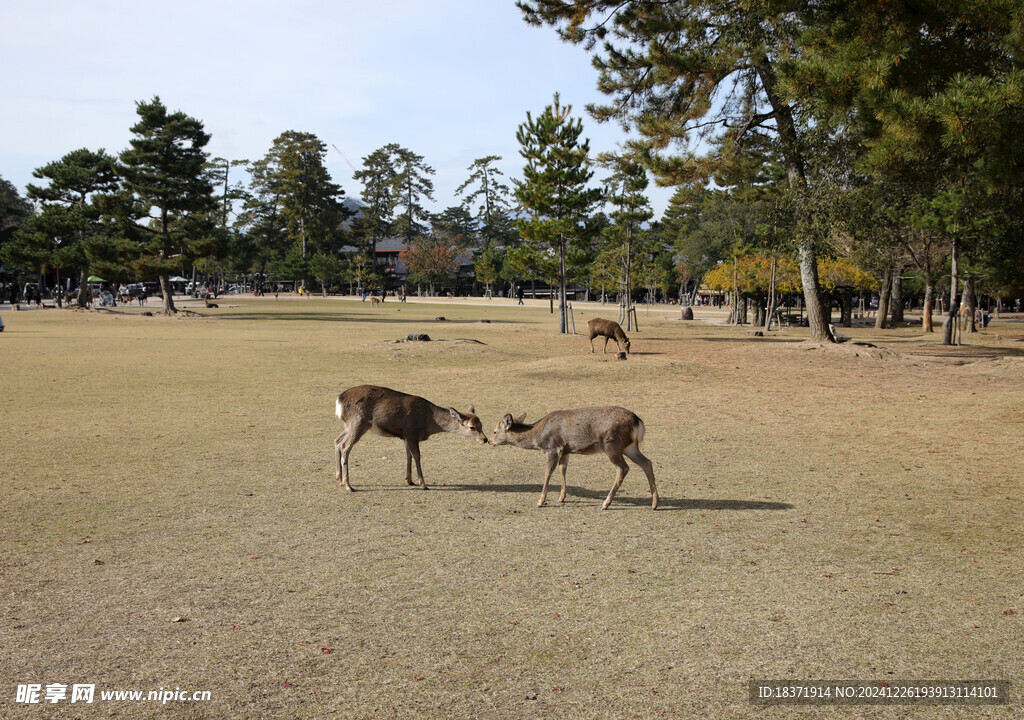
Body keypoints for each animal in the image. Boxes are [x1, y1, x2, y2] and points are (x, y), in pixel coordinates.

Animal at [329, 385, 485, 493]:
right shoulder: (411, 433)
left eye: (481, 424)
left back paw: (339, 479)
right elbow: (416, 456)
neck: (429, 421)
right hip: (358, 423)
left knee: (337, 440)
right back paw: (348, 486)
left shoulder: (405, 436)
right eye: (472, 427)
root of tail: (339, 400)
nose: (485, 439)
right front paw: (423, 484)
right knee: (345, 447)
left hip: (348, 425)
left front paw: (409, 480)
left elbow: (408, 455)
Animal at [491, 405, 659, 512]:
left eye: (494, 431)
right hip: (629, 446)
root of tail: (638, 421)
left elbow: (548, 473)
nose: (489, 441)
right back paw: (654, 503)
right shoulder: (566, 450)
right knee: (647, 463)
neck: (538, 438)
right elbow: (562, 470)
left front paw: (540, 501)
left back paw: (605, 504)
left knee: (623, 468)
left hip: (611, 444)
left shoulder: (552, 448)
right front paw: (561, 497)